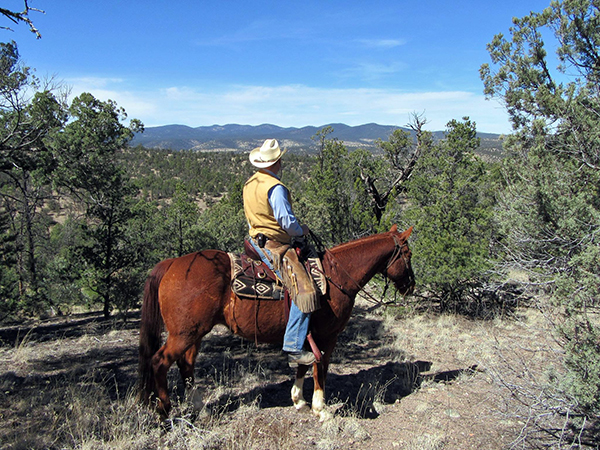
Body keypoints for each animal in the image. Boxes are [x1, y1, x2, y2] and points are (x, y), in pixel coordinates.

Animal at [138, 225, 414, 422]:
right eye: (408, 254)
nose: (410, 285)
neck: (336, 277)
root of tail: (171, 264)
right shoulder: (328, 335)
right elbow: (320, 367)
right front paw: (321, 408)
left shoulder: (308, 334)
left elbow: (304, 363)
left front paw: (298, 400)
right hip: (183, 334)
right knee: (159, 361)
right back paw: (164, 411)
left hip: (194, 334)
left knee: (186, 365)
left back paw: (200, 409)